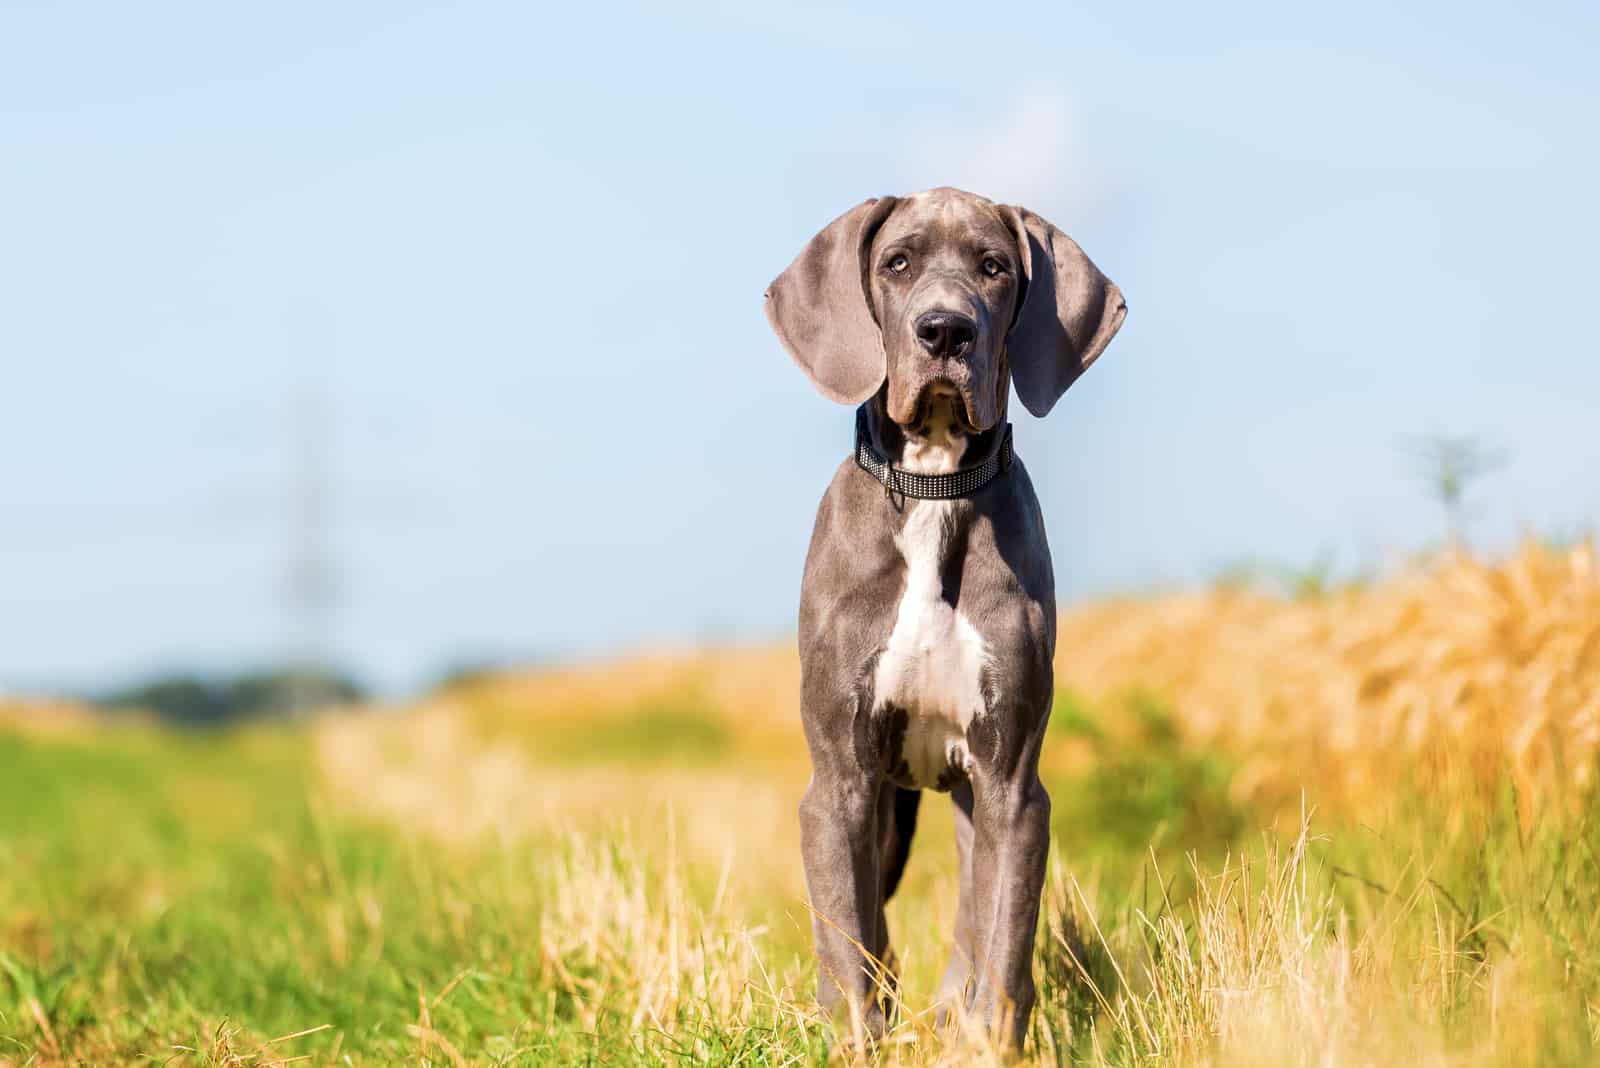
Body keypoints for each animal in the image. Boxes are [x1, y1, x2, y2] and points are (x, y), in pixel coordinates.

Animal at [761, 187, 1126, 1048]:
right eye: (897, 262)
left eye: (994, 268)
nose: (945, 330)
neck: (933, 484)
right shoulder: (840, 780)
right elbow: (848, 952)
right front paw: (857, 1040)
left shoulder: (1011, 784)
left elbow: (1002, 945)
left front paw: (986, 1042)